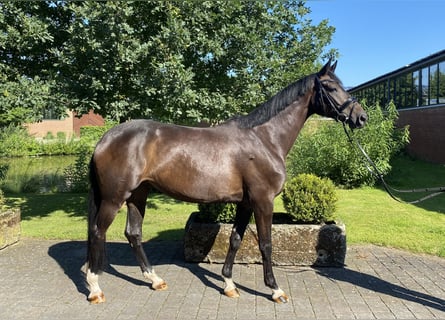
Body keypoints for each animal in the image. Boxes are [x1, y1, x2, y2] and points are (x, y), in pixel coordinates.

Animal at [85, 60, 366, 304]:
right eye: (331, 87)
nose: (361, 117)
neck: (264, 139)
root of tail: (105, 139)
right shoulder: (263, 201)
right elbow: (266, 244)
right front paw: (275, 290)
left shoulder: (246, 203)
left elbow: (236, 239)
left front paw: (229, 285)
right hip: (114, 198)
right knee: (98, 231)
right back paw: (95, 288)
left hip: (138, 194)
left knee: (133, 233)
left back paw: (155, 279)